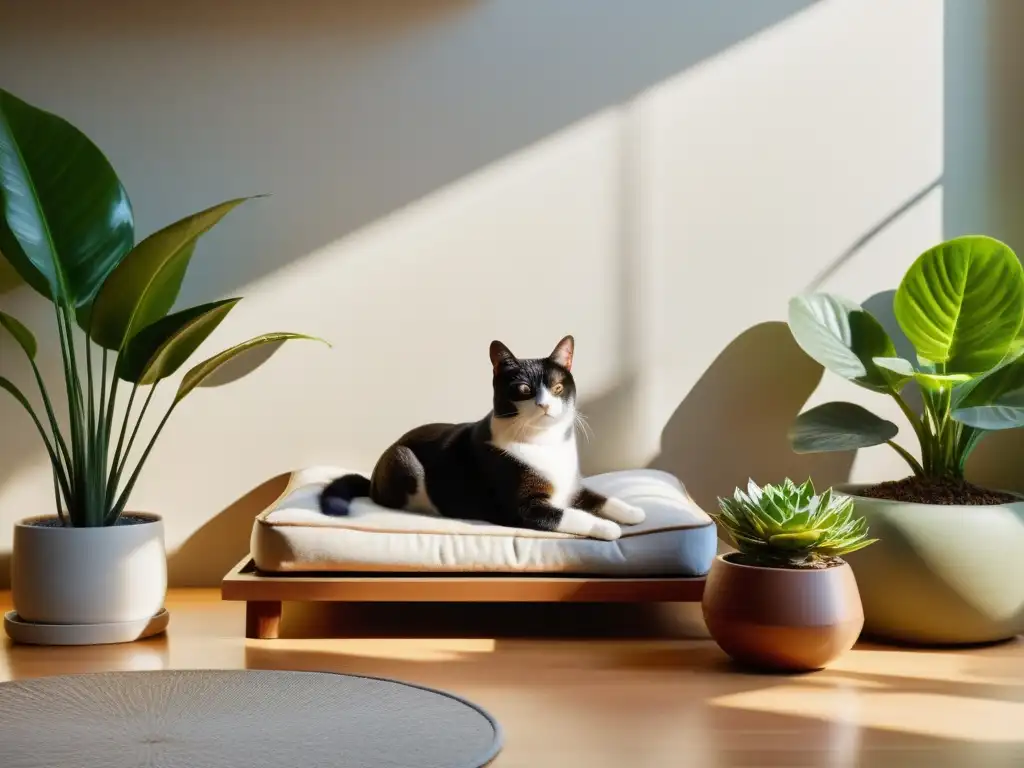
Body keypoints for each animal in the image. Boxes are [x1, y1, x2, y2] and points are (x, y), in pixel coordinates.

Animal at [315, 335, 643, 540]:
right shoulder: (521, 508)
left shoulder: (571, 485)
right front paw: (608, 528)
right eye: (523, 389)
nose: (545, 404)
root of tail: (371, 478)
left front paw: (633, 512)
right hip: (404, 461)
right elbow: (568, 515)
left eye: (558, 387)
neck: (544, 443)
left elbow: (599, 496)